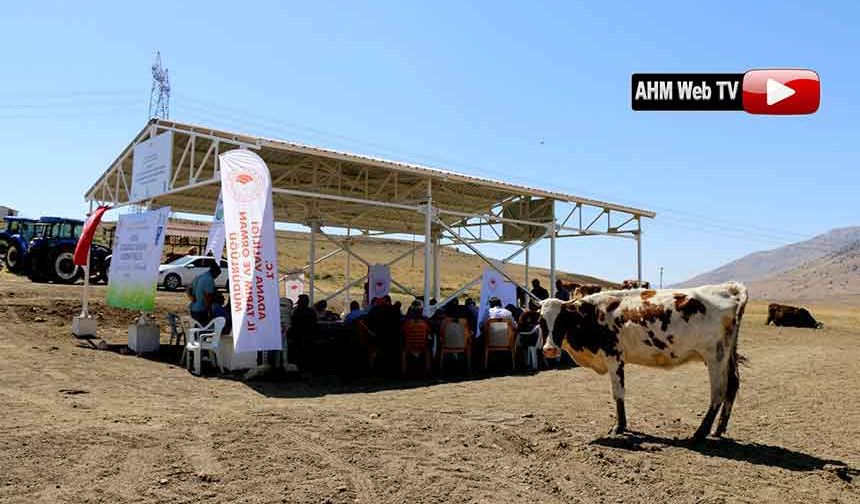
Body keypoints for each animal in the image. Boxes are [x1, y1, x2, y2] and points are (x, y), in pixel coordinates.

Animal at [544, 284, 744, 440]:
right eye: (541, 321)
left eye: (561, 320)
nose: (549, 349)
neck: (593, 314)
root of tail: (730, 288)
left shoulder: (614, 358)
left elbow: (618, 394)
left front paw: (619, 427)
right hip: (727, 356)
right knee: (733, 385)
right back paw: (718, 429)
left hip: (715, 358)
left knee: (719, 392)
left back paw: (701, 432)